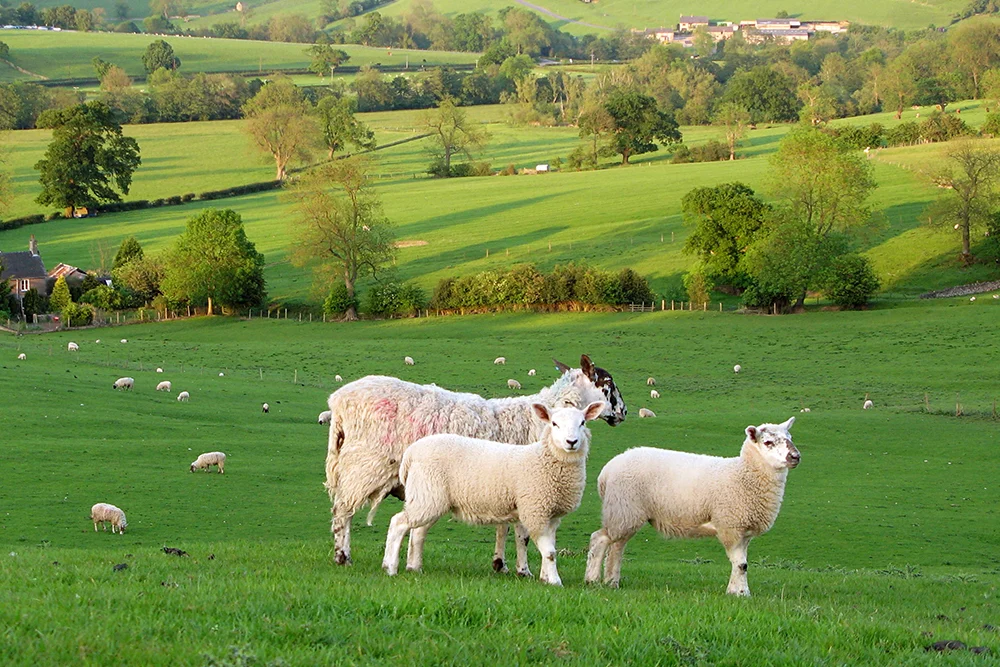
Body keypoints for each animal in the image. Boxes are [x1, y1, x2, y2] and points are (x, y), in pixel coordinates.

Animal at [383, 401, 606, 584]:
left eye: (583, 423)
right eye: (554, 424)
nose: (571, 442)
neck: (545, 459)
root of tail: (412, 452)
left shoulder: (552, 515)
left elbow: (548, 549)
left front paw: (545, 577)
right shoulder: (535, 510)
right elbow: (550, 552)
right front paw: (554, 582)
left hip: (429, 496)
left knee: (418, 532)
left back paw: (415, 568)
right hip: (427, 495)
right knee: (398, 523)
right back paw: (390, 567)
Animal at [585, 417, 800, 596]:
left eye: (789, 437)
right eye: (768, 442)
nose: (795, 456)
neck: (743, 474)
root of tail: (606, 472)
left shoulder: (743, 531)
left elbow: (741, 564)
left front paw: (736, 591)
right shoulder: (730, 526)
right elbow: (741, 565)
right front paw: (740, 594)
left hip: (624, 512)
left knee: (617, 546)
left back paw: (612, 582)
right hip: (623, 508)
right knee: (600, 539)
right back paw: (592, 580)